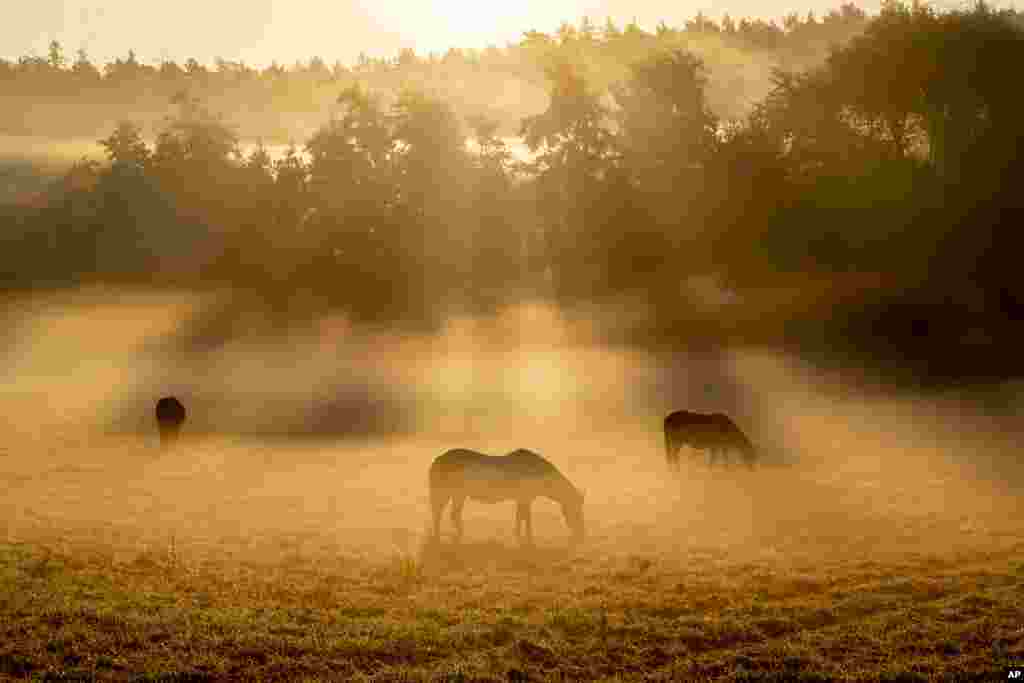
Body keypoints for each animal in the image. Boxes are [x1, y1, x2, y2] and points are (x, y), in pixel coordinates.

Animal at [425, 448, 585, 548]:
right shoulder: (525, 498)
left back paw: (457, 536)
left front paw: (520, 537)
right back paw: (442, 538)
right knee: (439, 513)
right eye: (576, 511)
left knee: (452, 514)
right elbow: (526, 518)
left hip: (458, 494)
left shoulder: (522, 499)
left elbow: (521, 517)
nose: (580, 535)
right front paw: (529, 540)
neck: (537, 471)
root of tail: (438, 459)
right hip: (446, 493)